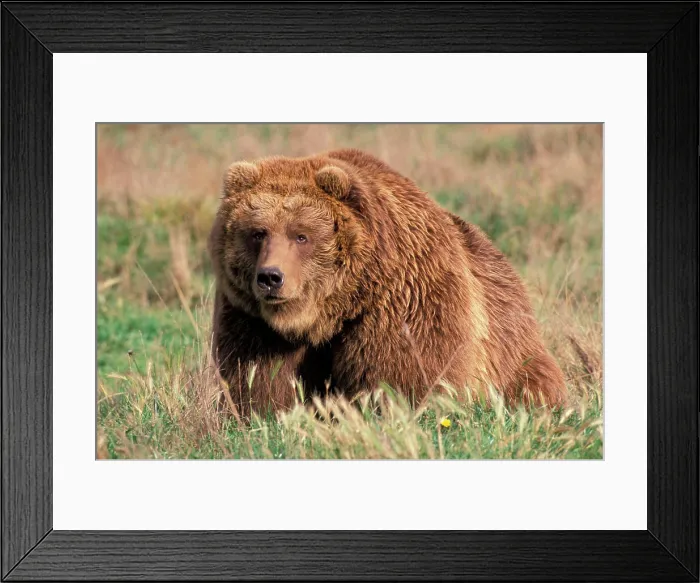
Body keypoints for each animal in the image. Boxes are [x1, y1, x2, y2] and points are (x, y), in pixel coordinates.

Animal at [208, 148, 567, 418]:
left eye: (301, 235)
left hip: (512, 346)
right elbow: (262, 380)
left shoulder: (403, 301)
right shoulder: (252, 321)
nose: (271, 277)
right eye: (258, 232)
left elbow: (408, 375)